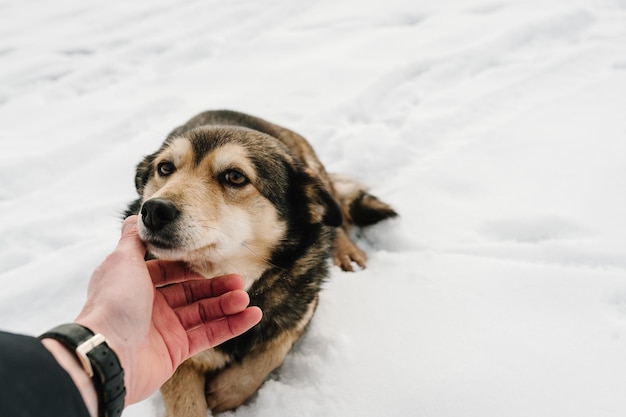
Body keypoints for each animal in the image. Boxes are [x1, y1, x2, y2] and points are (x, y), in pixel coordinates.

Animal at [125, 109, 394, 414]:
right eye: (165, 168)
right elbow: (186, 406)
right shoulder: (179, 358)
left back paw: (347, 251)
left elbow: (273, 350)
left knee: (337, 219)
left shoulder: (303, 308)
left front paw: (225, 392)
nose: (153, 211)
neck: (235, 278)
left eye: (235, 176)